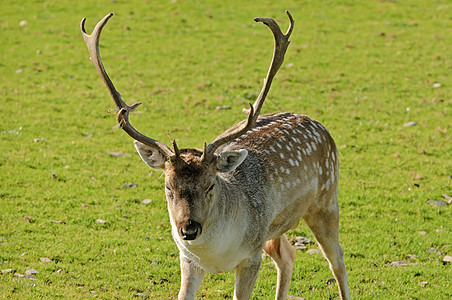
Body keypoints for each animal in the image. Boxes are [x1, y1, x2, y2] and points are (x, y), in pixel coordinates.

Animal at [80, 10, 350, 298]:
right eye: (168, 187)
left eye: (210, 185)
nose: (188, 229)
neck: (215, 256)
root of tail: (319, 124)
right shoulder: (188, 260)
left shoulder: (251, 255)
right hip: (274, 229)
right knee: (287, 255)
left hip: (326, 200)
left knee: (337, 260)